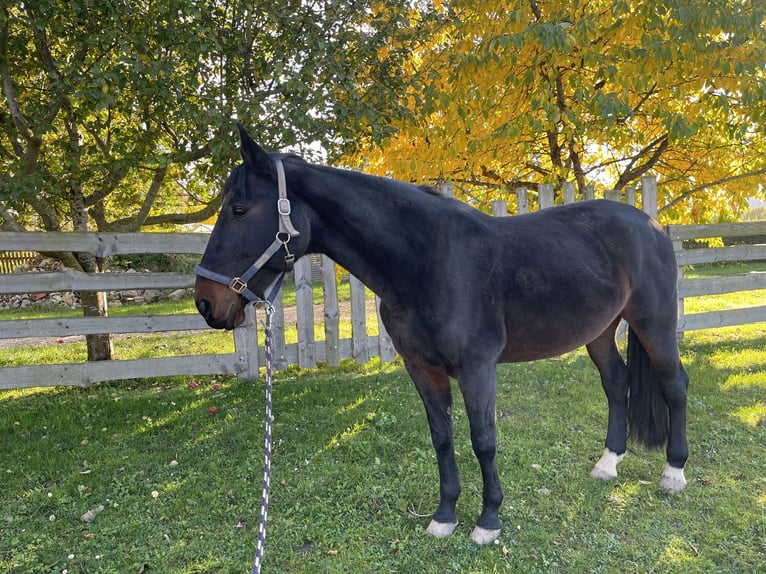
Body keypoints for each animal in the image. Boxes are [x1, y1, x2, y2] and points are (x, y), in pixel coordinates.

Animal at [194, 125, 689, 545]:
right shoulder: (422, 369)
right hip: (601, 331)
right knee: (617, 383)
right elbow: (442, 437)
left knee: (675, 386)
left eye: (239, 210)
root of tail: (652, 226)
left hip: (655, 325)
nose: (205, 303)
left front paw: (488, 521)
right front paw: (444, 516)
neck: (426, 262)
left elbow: (483, 439)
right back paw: (607, 464)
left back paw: (674, 472)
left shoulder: (476, 368)